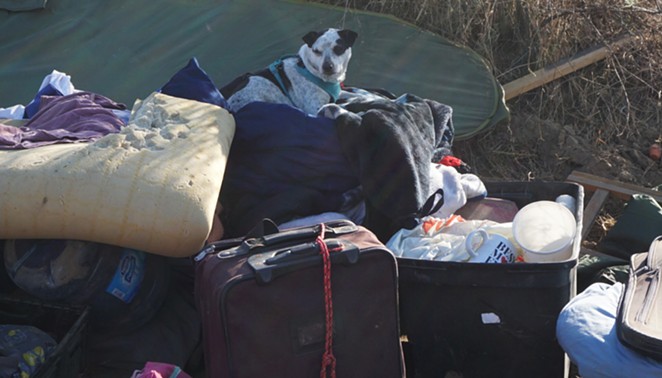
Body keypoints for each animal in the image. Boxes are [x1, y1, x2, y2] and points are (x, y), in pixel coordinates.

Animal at [222, 28, 358, 115]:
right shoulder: (315, 108)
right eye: (316, 51)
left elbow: (354, 95)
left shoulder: (338, 93)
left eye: (338, 48)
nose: (327, 67)